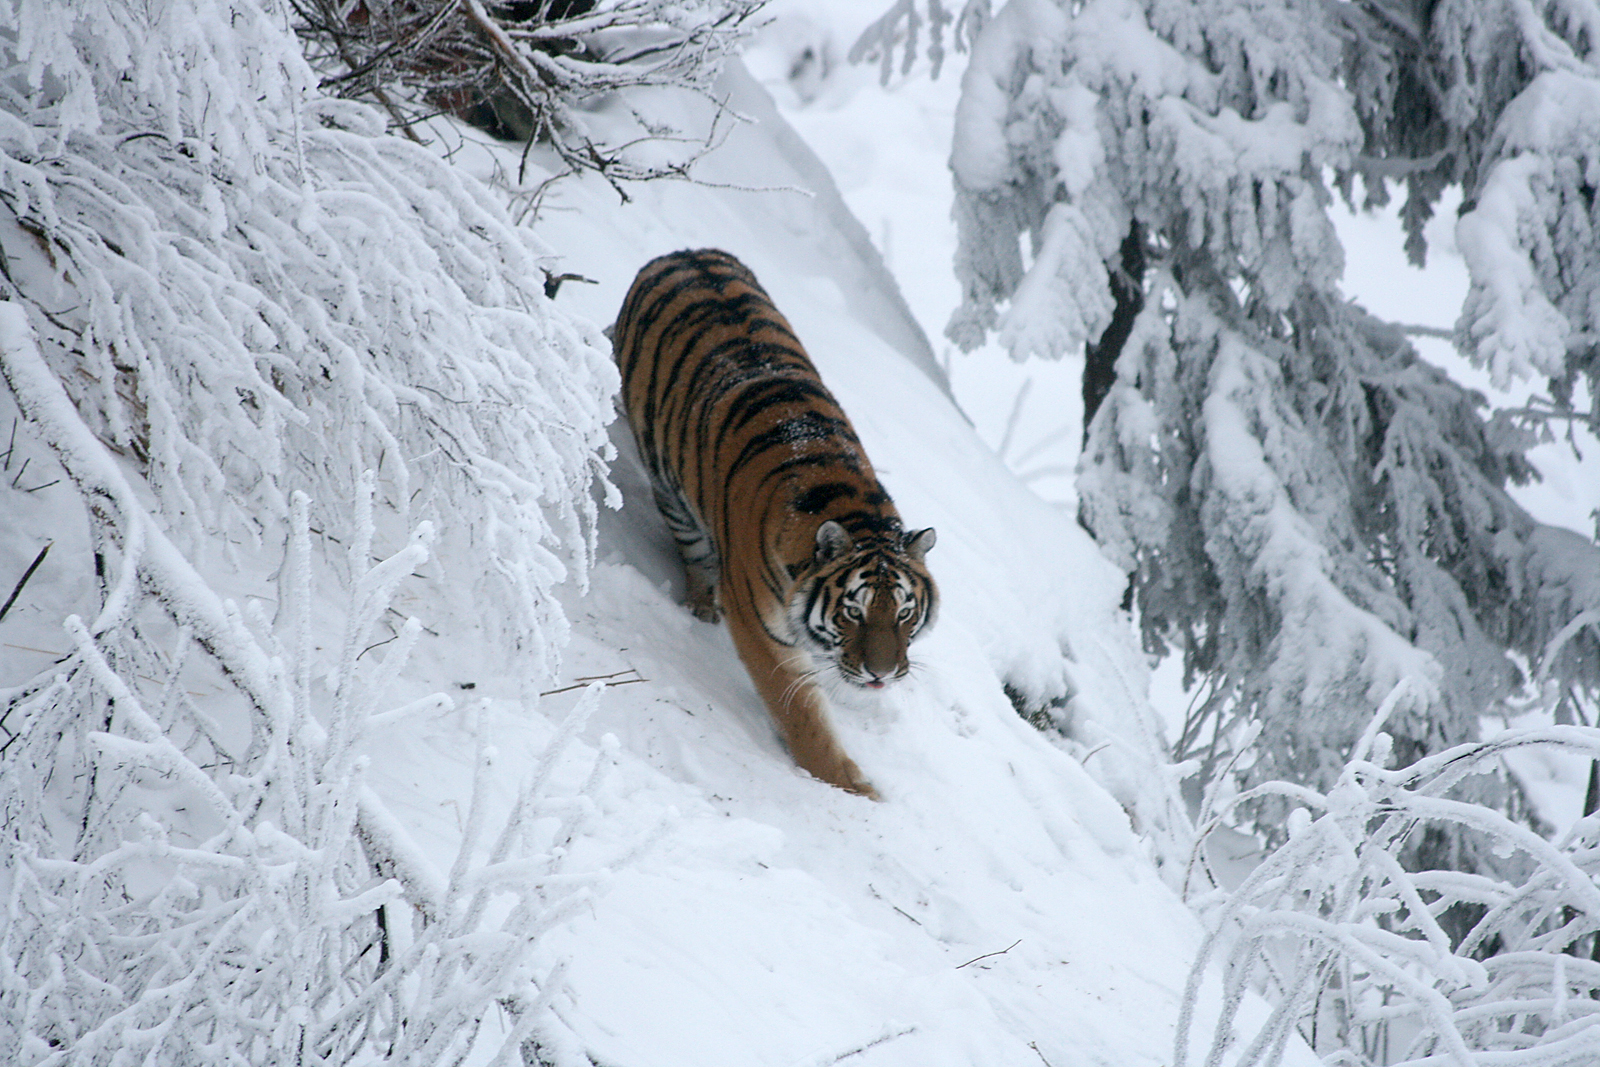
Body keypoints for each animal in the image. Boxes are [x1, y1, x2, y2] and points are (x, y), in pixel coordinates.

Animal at [612, 248, 938, 800]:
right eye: (854, 612)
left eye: (904, 614)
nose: (882, 675)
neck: (856, 511)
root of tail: (680, 253)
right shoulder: (763, 631)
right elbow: (802, 713)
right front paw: (852, 786)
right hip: (670, 487)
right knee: (693, 551)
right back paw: (701, 605)